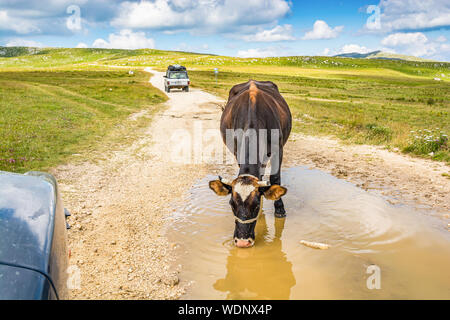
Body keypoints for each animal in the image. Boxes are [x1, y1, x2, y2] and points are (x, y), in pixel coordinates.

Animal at [210, 79, 292, 248]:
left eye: (255, 206)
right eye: (231, 204)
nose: (242, 242)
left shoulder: (278, 149)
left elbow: (275, 178)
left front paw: (279, 209)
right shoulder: (237, 151)